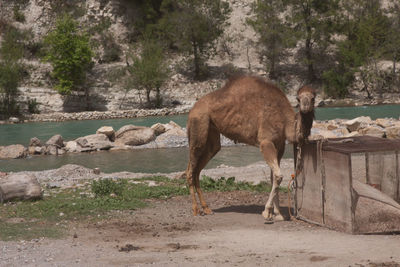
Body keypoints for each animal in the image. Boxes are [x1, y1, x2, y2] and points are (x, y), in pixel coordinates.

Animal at [184, 75, 316, 222]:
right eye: (298, 99)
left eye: (313, 97)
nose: (305, 107)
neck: (284, 121)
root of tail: (192, 109)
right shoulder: (266, 142)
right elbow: (278, 176)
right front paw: (267, 212)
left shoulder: (280, 145)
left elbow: (273, 177)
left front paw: (278, 214)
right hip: (198, 126)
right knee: (190, 170)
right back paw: (196, 210)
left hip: (212, 135)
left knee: (198, 169)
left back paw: (206, 208)